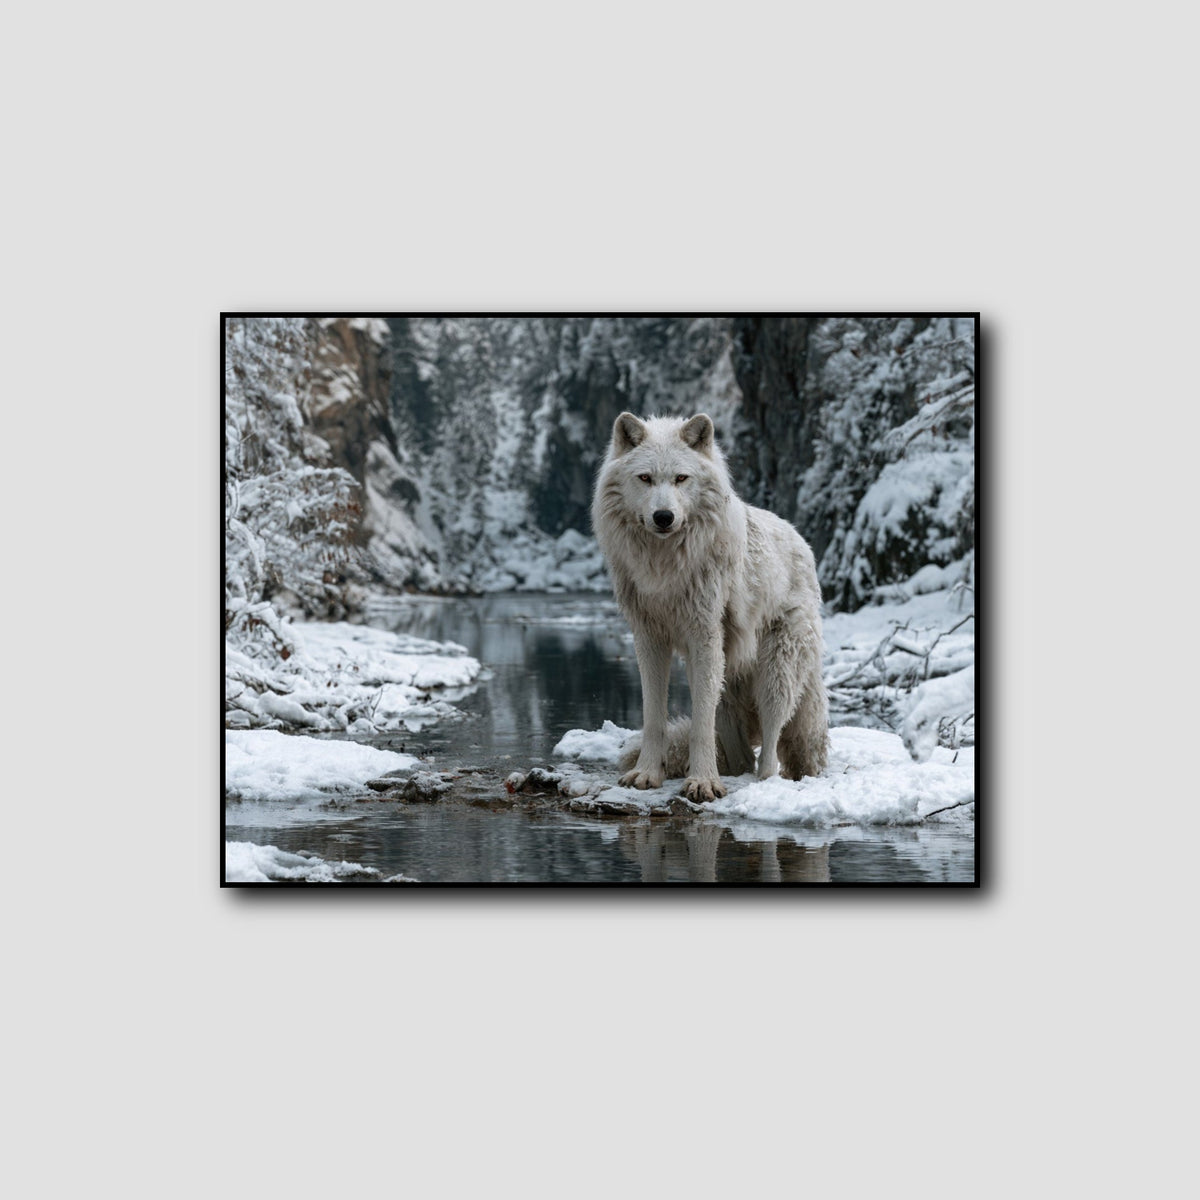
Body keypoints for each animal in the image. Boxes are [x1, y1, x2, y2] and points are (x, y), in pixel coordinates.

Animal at [592, 412, 828, 802]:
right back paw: (734, 771)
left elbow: (700, 722)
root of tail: (801, 542)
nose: (663, 517)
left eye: (680, 478)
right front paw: (647, 773)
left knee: (771, 745)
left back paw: (763, 783)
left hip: (775, 672)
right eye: (645, 478)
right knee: (743, 755)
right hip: (728, 684)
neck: (665, 567)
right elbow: (653, 716)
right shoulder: (649, 639)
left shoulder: (704, 637)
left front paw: (702, 782)